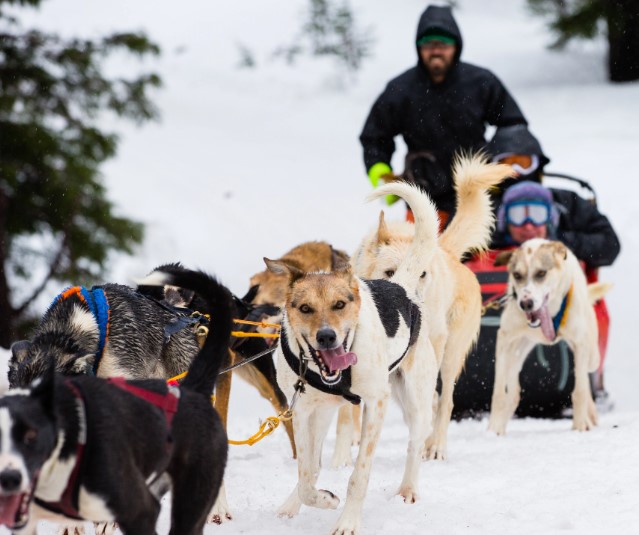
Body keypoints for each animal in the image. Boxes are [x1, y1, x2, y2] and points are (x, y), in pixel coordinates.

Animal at [268, 252, 440, 535]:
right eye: (305, 308)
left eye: (339, 304)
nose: (326, 336)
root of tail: (401, 287)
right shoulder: (302, 411)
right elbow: (306, 475)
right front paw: (323, 498)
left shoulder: (376, 402)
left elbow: (358, 476)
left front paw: (347, 522)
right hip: (322, 413)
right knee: (313, 466)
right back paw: (290, 506)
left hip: (416, 402)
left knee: (415, 444)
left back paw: (407, 489)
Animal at [340, 155, 516, 460]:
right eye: (389, 271)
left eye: (422, 274)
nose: (410, 305)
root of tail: (449, 253)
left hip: (449, 353)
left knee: (445, 401)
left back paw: (436, 445)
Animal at [488, 240, 612, 436]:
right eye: (517, 275)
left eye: (541, 273)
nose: (525, 303)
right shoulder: (505, 339)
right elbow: (500, 394)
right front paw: (493, 430)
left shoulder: (580, 344)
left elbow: (580, 392)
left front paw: (579, 426)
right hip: (517, 352)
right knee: (513, 393)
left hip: (591, 354)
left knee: (586, 377)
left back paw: (588, 415)